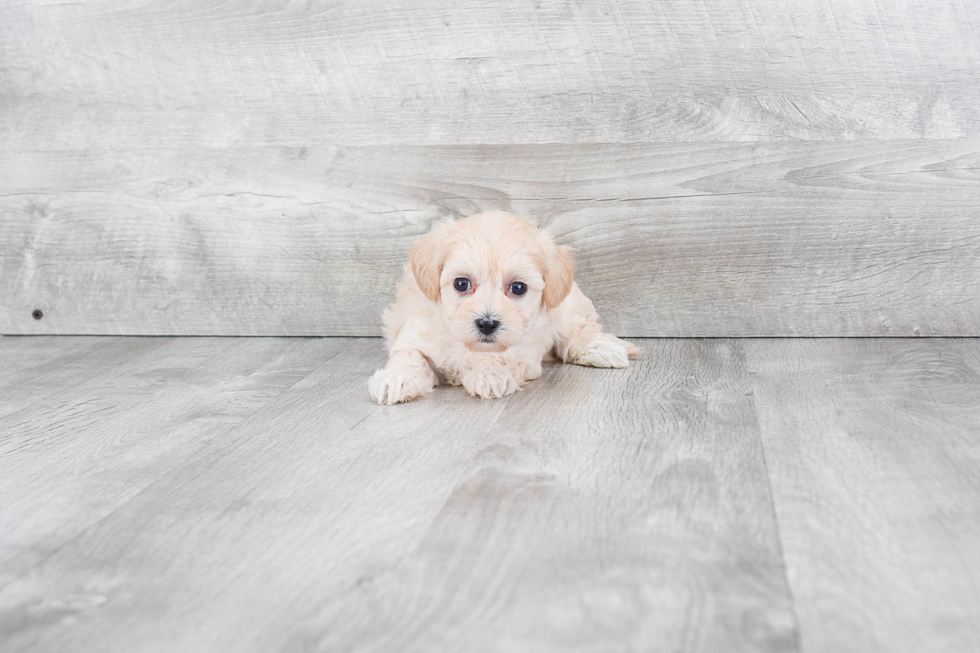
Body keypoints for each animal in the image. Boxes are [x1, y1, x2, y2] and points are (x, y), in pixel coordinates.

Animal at [366, 210, 636, 402]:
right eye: (461, 283)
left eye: (518, 288)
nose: (487, 324)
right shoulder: (415, 333)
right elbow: (408, 356)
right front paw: (397, 380)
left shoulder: (524, 351)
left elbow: (498, 356)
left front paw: (489, 375)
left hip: (568, 306)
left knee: (576, 332)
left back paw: (601, 349)